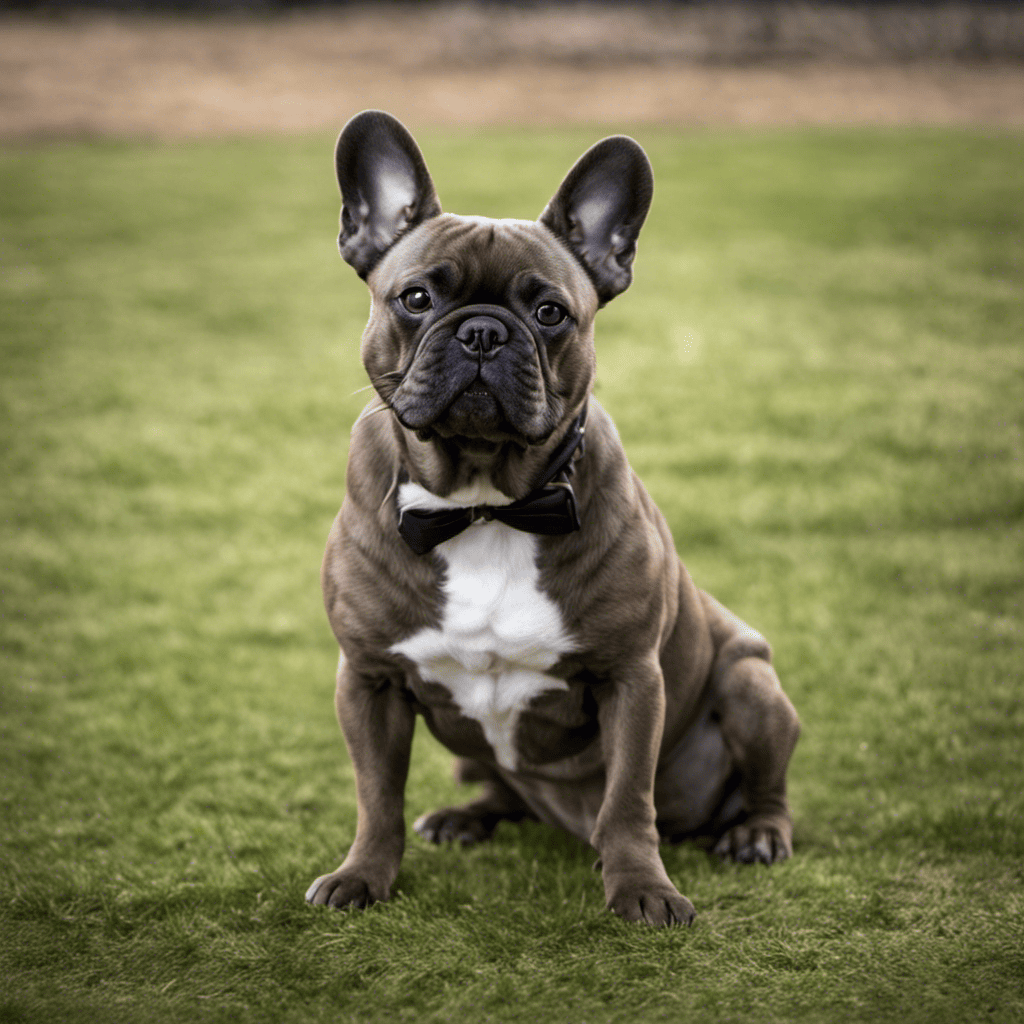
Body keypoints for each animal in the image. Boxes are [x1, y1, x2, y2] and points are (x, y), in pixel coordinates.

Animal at [303, 112, 798, 929]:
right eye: (415, 298)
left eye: (550, 313)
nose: (481, 331)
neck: (482, 506)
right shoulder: (368, 680)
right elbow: (376, 795)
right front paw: (362, 876)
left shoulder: (632, 678)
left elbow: (628, 800)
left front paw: (642, 889)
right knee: (498, 785)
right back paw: (466, 816)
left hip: (753, 683)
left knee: (764, 784)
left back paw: (756, 833)